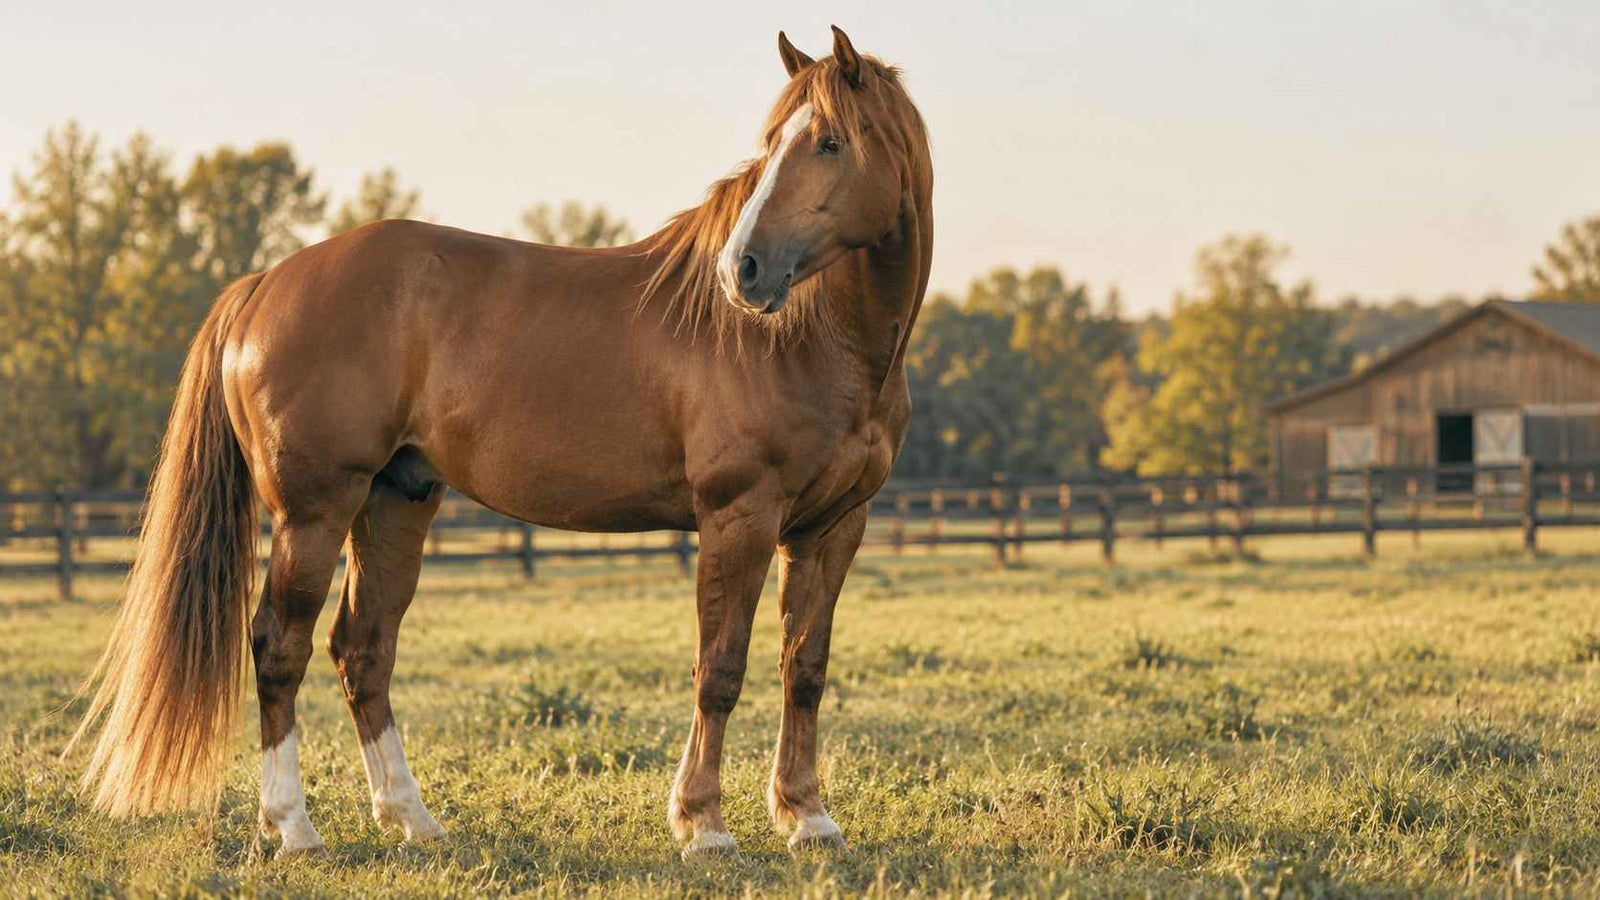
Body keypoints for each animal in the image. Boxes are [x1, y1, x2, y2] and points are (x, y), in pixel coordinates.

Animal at [68, 25, 932, 859]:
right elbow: (718, 669)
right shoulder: (737, 519)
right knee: (281, 646)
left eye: (828, 141)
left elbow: (805, 669)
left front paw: (808, 819)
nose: (743, 271)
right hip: (313, 513)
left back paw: (411, 819)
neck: (809, 340)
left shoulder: (831, 528)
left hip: (395, 502)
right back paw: (294, 829)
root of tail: (263, 285)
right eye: (773, 141)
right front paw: (704, 826)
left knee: (362, 650)